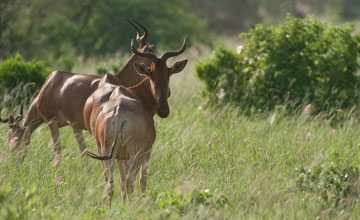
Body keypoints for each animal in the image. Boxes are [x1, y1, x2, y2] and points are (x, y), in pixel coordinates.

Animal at [0, 19, 153, 164]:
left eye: (11, 135)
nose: (15, 161)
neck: (51, 85)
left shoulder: (53, 122)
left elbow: (60, 149)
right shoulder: (75, 125)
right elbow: (81, 150)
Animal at [85, 37, 188, 206]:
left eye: (168, 73)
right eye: (151, 74)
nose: (163, 111)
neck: (135, 94)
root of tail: (119, 113)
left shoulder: (121, 156)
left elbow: (121, 181)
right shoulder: (147, 151)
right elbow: (142, 180)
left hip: (106, 151)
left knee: (110, 183)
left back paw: (109, 207)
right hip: (134, 153)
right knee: (130, 182)